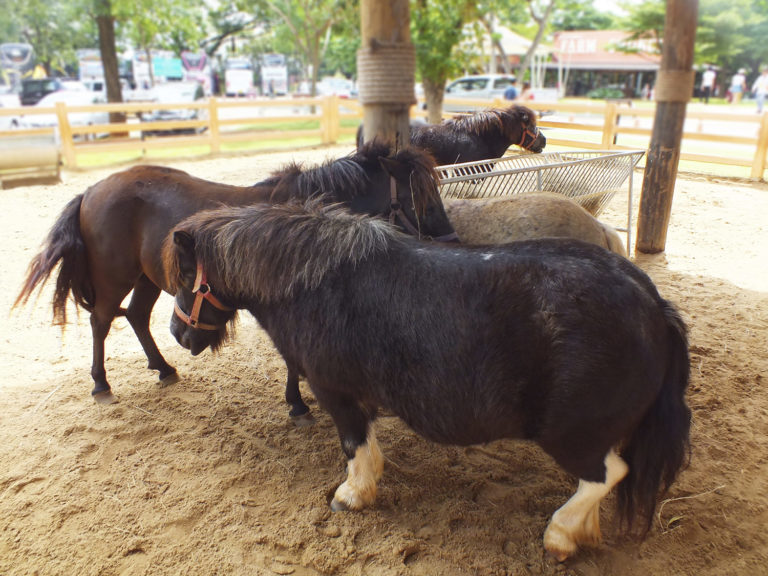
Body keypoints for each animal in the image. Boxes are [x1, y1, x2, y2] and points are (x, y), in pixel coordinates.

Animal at [14, 142, 458, 407]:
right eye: (422, 201)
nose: (453, 241)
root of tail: (91, 190)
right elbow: (292, 357)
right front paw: (297, 403)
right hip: (114, 277)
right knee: (101, 321)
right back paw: (101, 384)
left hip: (146, 277)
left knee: (137, 316)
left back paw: (164, 368)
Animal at [165, 199, 691, 561]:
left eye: (188, 275)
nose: (176, 333)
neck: (315, 282)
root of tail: (652, 303)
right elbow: (369, 444)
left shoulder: (336, 392)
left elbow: (353, 445)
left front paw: (352, 495)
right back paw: (582, 533)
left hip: (571, 434)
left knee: (607, 474)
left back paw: (560, 535)